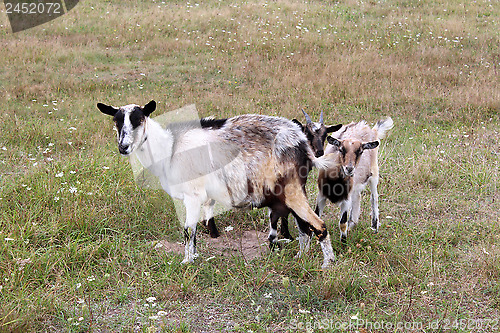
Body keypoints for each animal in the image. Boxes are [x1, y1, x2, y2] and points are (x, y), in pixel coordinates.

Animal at [96, 100, 340, 268]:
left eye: (138, 119)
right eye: (117, 121)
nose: (123, 147)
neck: (169, 148)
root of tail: (303, 143)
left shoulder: (192, 195)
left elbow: (188, 229)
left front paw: (187, 262)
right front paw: (193, 256)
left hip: (291, 189)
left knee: (319, 225)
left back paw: (327, 264)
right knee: (304, 227)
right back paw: (301, 257)